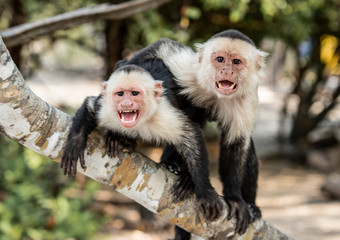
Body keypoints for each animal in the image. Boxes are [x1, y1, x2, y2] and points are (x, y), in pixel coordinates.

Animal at [59, 59, 224, 221]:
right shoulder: (104, 108)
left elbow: (191, 136)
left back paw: (181, 174)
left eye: (134, 93)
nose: (126, 103)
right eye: (120, 94)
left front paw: (205, 191)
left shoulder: (164, 113)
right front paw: (74, 145)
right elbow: (89, 106)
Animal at [123, 29, 266, 237]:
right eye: (220, 59)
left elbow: (236, 144)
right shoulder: (190, 71)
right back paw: (175, 167)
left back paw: (251, 206)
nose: (226, 71)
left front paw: (234, 198)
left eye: (236, 62)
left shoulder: (247, 98)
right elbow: (160, 47)